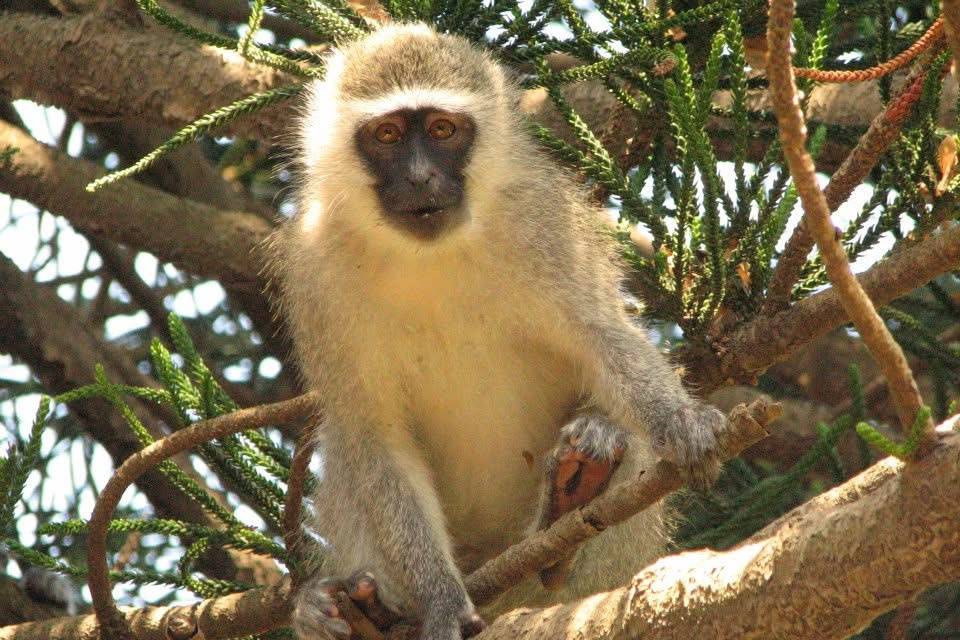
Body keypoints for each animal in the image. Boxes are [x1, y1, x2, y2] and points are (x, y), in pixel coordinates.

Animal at [269, 23, 728, 640]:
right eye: (388, 134)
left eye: (444, 129)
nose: (420, 176)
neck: (427, 256)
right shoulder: (314, 274)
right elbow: (373, 432)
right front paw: (438, 601)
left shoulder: (542, 222)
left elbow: (604, 336)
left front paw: (681, 423)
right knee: (347, 442)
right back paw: (356, 610)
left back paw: (570, 504)